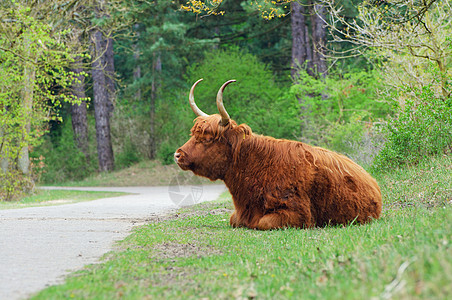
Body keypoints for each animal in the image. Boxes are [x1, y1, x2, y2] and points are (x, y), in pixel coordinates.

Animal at [173, 79, 382, 230]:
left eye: (208, 138)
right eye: (193, 134)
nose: (178, 154)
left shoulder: (298, 213)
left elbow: (263, 223)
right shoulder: (239, 213)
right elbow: (234, 220)